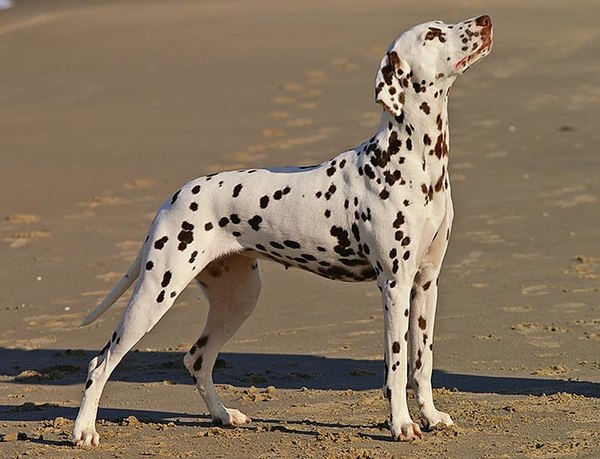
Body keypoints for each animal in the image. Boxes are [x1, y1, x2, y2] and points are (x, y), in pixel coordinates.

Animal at [72, 15, 492, 446]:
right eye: (433, 35)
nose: (485, 20)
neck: (414, 159)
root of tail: (172, 198)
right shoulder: (395, 284)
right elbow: (396, 363)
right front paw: (401, 424)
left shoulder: (426, 282)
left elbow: (422, 362)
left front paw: (431, 416)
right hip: (155, 294)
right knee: (100, 363)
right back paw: (84, 430)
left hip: (238, 299)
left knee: (197, 359)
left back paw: (223, 415)